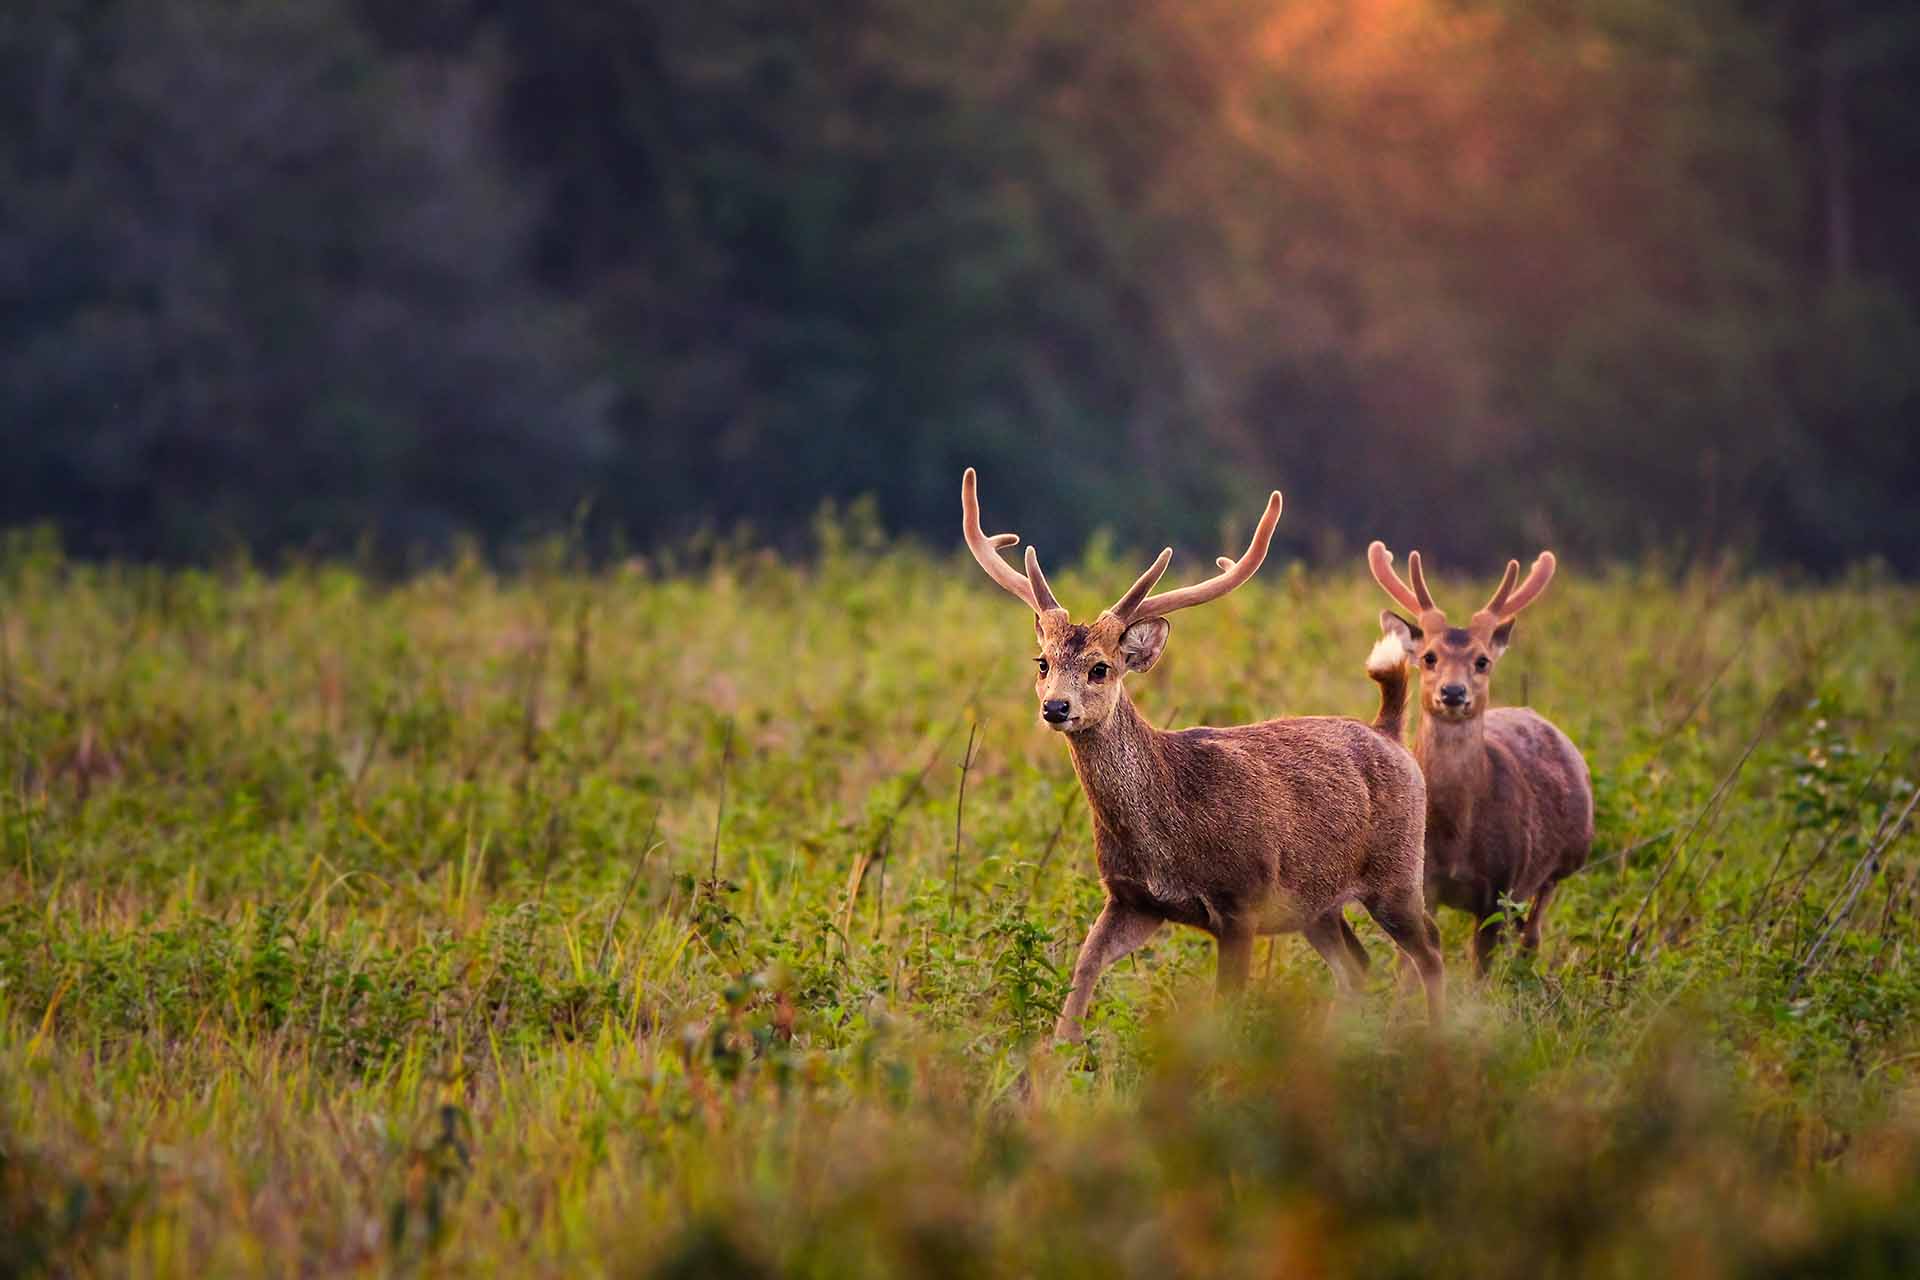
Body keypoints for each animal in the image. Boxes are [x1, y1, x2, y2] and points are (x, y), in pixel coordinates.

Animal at [960, 470, 1443, 1043]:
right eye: (1042, 662)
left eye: (1101, 668)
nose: (1056, 707)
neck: (1170, 830)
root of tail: (1388, 731)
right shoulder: (1130, 898)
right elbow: (1081, 974)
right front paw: (1059, 1054)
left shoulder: (1241, 900)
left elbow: (1225, 1009)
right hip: (1316, 906)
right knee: (1359, 964)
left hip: (1397, 869)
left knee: (1430, 949)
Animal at [1367, 541, 1605, 971]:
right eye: (1429, 656)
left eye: (1482, 661)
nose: (1453, 692)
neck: (1455, 838)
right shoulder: (1420, 883)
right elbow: (1409, 966)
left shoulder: (1500, 886)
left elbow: (1480, 971)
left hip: (1566, 861)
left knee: (1533, 934)